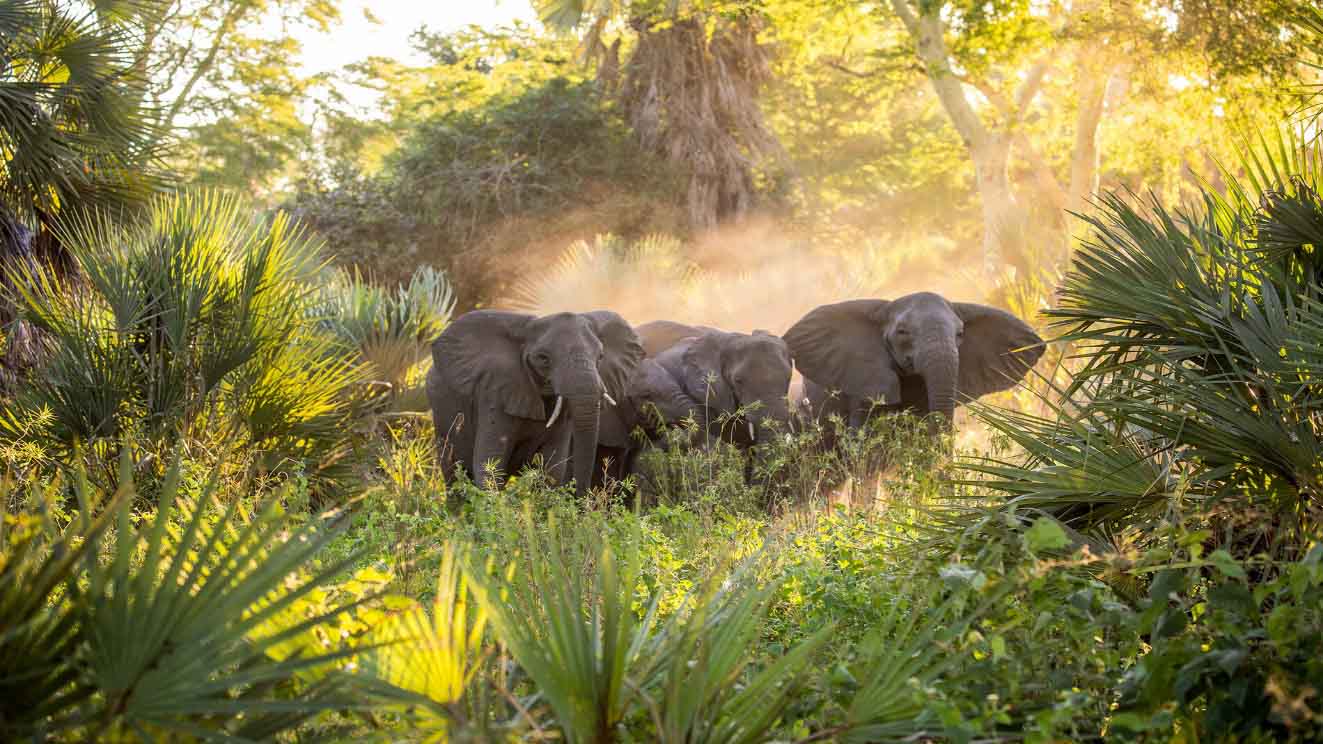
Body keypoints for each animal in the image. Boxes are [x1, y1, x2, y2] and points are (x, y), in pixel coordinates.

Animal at [426, 309, 643, 496]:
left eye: (600, 357)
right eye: (543, 358)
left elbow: (553, 470)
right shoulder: (495, 393)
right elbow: (489, 465)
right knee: (454, 475)